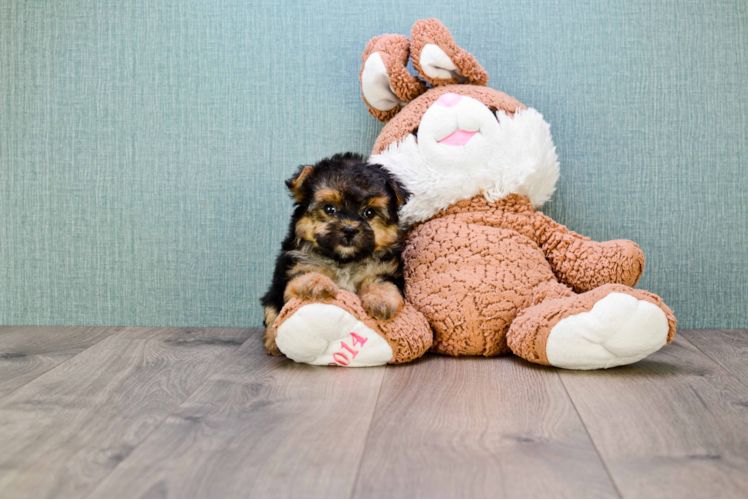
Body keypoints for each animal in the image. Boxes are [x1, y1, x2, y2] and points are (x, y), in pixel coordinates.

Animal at [258, 152, 410, 356]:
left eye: (369, 213)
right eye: (330, 209)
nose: (349, 229)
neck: (343, 260)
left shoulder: (384, 269)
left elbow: (383, 283)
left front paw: (381, 301)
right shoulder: (294, 270)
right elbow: (301, 277)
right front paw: (316, 282)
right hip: (271, 297)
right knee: (273, 317)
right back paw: (273, 342)